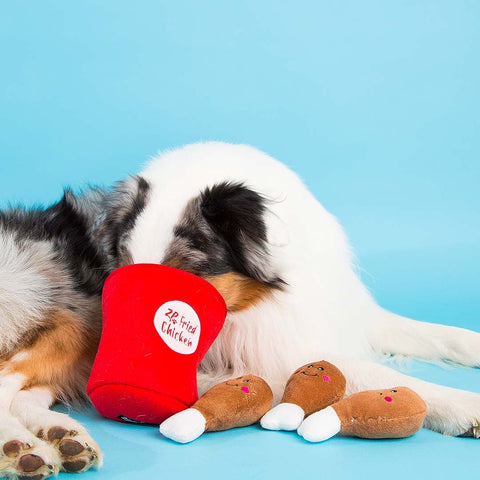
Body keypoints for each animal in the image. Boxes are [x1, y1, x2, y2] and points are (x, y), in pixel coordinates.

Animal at [0, 142, 480, 480]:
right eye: (126, 269)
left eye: (187, 274)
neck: (260, 300)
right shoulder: (265, 356)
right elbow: (378, 375)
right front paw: (464, 405)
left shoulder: (334, 314)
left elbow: (433, 333)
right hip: (68, 322)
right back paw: (22, 450)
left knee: (26, 395)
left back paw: (64, 439)